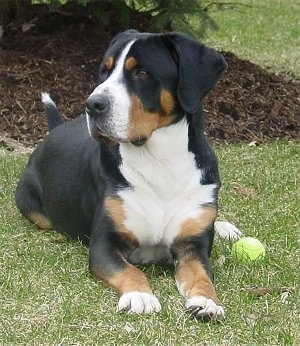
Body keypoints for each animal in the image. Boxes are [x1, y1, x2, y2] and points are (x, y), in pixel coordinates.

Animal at [15, 29, 241, 322]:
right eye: (105, 71)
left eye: (142, 73)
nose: (92, 104)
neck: (160, 162)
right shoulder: (105, 244)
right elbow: (129, 271)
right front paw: (139, 296)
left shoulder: (192, 247)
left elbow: (202, 275)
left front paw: (206, 301)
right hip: (32, 205)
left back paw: (224, 227)